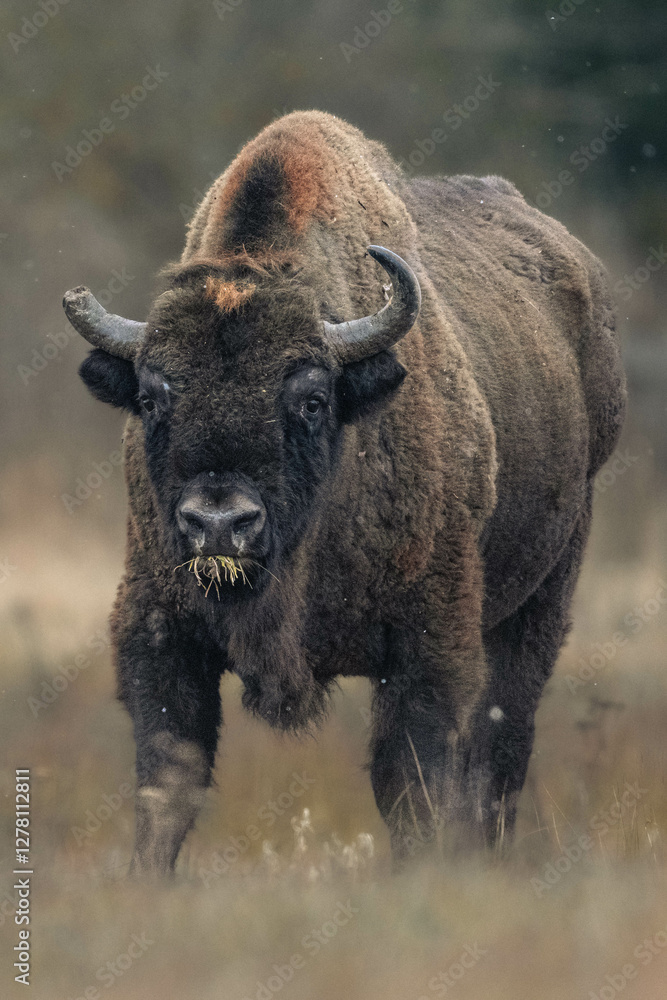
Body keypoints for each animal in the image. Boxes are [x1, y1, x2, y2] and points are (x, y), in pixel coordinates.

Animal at [63, 111, 626, 876]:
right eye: (151, 397)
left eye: (309, 398)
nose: (219, 523)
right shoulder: (159, 633)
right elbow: (168, 783)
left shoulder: (427, 645)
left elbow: (411, 782)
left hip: (542, 596)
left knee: (500, 750)